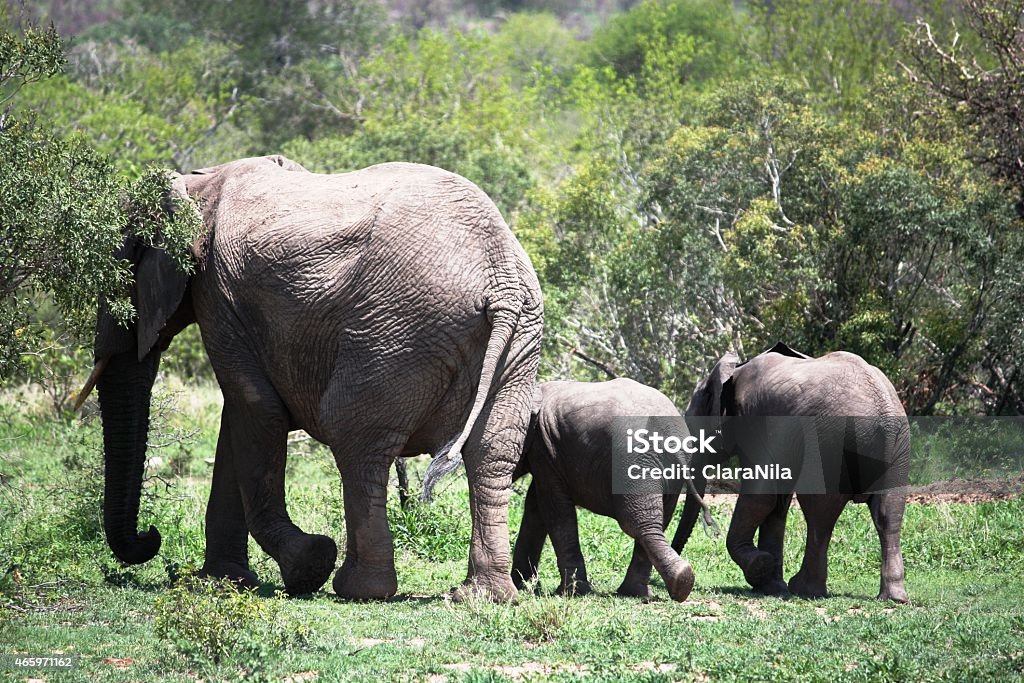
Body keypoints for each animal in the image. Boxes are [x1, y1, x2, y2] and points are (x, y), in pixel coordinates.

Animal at [86, 156, 544, 602]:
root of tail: (499, 280)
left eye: (123, 268)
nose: (150, 537)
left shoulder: (219, 294)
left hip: (397, 330)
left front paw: (306, 565)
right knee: (491, 451)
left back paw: (358, 588)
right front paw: (223, 582)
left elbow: (254, 408)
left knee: (355, 437)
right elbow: (238, 420)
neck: (197, 183)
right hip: (517, 339)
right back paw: (482, 595)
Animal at [512, 378, 696, 602]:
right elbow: (536, 506)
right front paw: (522, 585)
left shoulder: (545, 449)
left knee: (636, 523)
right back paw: (654, 588)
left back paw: (677, 582)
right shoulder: (546, 454)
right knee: (656, 521)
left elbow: (554, 510)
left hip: (632, 463)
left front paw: (571, 593)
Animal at [675, 344, 909, 602]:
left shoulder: (754, 421)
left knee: (819, 512)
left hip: (830, 442)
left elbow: (760, 497)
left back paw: (805, 590)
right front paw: (770, 585)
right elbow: (777, 502)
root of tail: (883, 409)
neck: (734, 371)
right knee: (889, 513)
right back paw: (894, 598)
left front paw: (761, 567)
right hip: (897, 447)